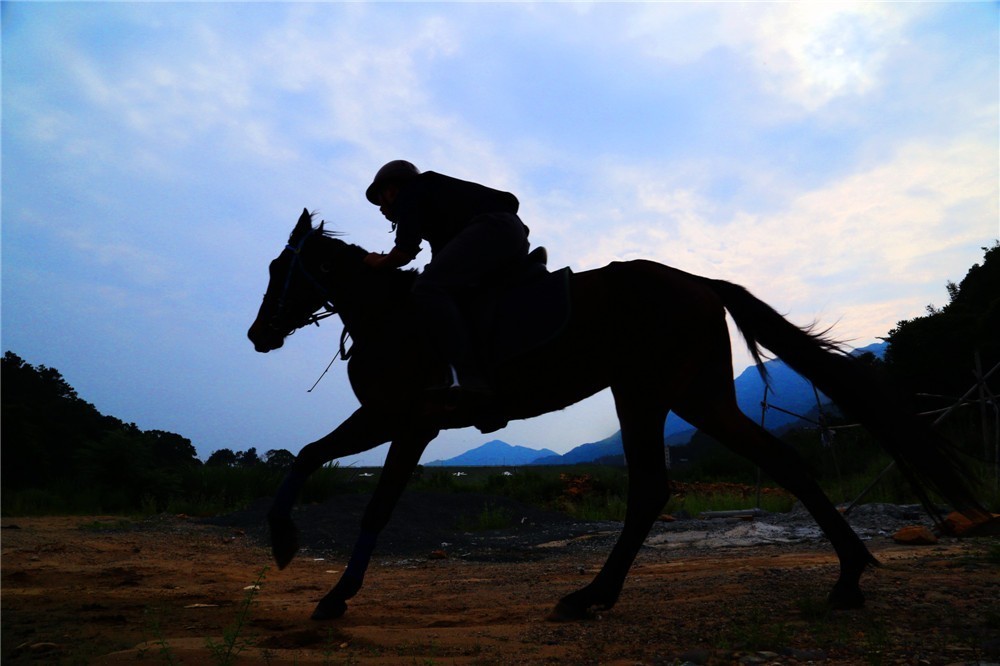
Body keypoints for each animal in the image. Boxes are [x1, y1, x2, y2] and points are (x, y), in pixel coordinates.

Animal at [244, 209, 984, 624]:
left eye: (282, 268)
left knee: (654, 488)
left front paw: (328, 590)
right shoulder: (387, 418)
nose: (258, 335)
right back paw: (849, 577)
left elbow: (369, 502)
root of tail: (699, 283)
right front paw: (285, 546)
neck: (393, 316)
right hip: (694, 397)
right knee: (782, 464)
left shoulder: (407, 420)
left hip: (646, 392)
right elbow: (308, 455)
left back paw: (590, 595)